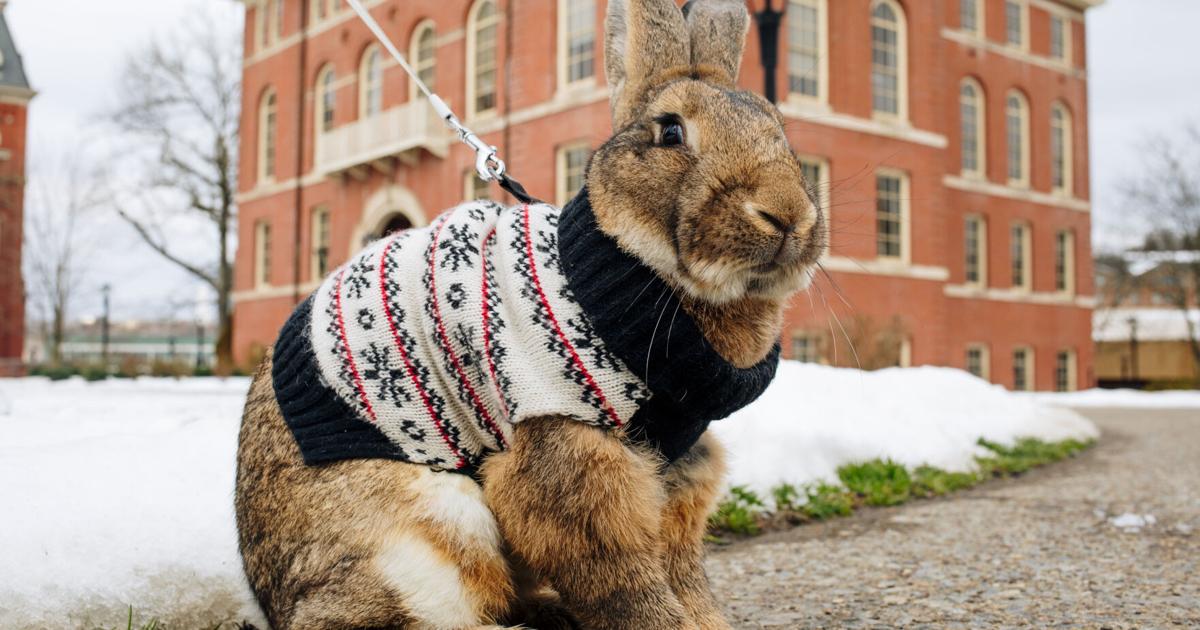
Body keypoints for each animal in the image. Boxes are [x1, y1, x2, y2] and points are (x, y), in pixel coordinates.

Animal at [234, 0, 825, 628]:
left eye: (781, 130)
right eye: (670, 130)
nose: (786, 214)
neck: (623, 270)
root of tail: (272, 596)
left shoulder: (681, 462)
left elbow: (682, 566)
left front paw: (705, 619)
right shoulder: (565, 446)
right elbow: (619, 573)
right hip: (432, 532)